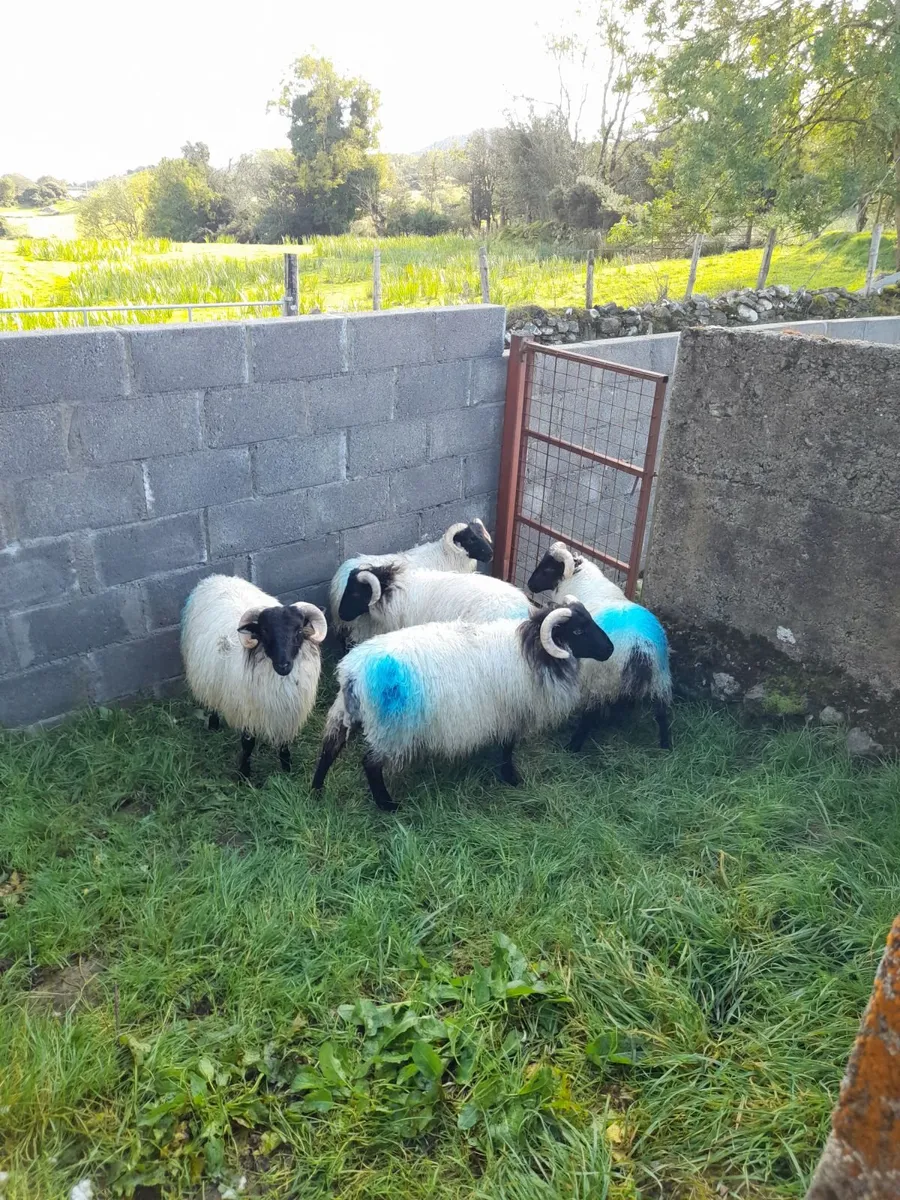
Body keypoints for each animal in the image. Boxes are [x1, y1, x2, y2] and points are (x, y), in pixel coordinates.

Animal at [181, 575, 327, 778]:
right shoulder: (247, 710)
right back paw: (213, 724)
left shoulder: (286, 713)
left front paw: (287, 769)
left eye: (298, 631)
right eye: (264, 631)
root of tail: (215, 578)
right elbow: (248, 745)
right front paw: (244, 774)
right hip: (210, 677)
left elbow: (284, 744)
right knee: (212, 701)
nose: (283, 665)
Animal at [311, 599, 614, 810]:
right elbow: (508, 747)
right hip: (391, 728)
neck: (533, 650)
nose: (610, 650)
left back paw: (316, 790)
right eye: (578, 630)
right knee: (370, 765)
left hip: (347, 711)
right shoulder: (512, 712)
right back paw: (387, 806)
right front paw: (511, 778)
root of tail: (352, 672)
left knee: (330, 748)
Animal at [329, 520, 494, 648]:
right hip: (360, 624)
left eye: (482, 534)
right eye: (471, 539)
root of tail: (338, 578)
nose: (491, 554)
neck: (446, 554)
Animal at [527, 541, 672, 752]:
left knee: (590, 715)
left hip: (600, 680)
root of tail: (638, 646)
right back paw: (665, 746)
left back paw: (574, 745)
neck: (581, 581)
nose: (530, 585)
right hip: (660, 677)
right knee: (662, 713)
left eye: (547, 569)